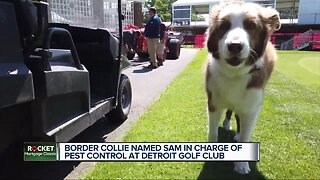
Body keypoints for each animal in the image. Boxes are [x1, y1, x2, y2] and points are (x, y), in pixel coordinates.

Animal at [205, 0, 280, 174]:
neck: (234, 73)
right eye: (223, 26)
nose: (235, 46)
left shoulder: (251, 108)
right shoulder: (213, 102)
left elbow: (246, 135)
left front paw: (241, 165)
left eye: (251, 25)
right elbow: (213, 131)